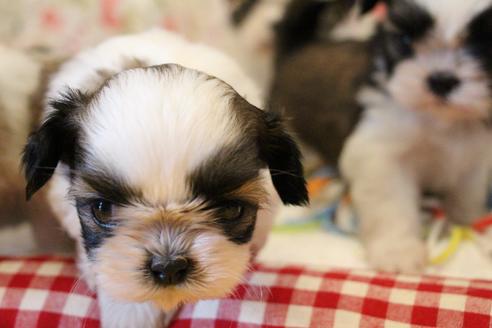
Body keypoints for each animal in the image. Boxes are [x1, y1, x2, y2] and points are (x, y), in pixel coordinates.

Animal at [340, 0, 492, 272]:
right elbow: (389, 198)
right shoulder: (379, 149)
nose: (441, 80)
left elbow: (468, 189)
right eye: (406, 39)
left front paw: (467, 219)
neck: (443, 121)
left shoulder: (477, 151)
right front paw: (397, 250)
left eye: (486, 45)